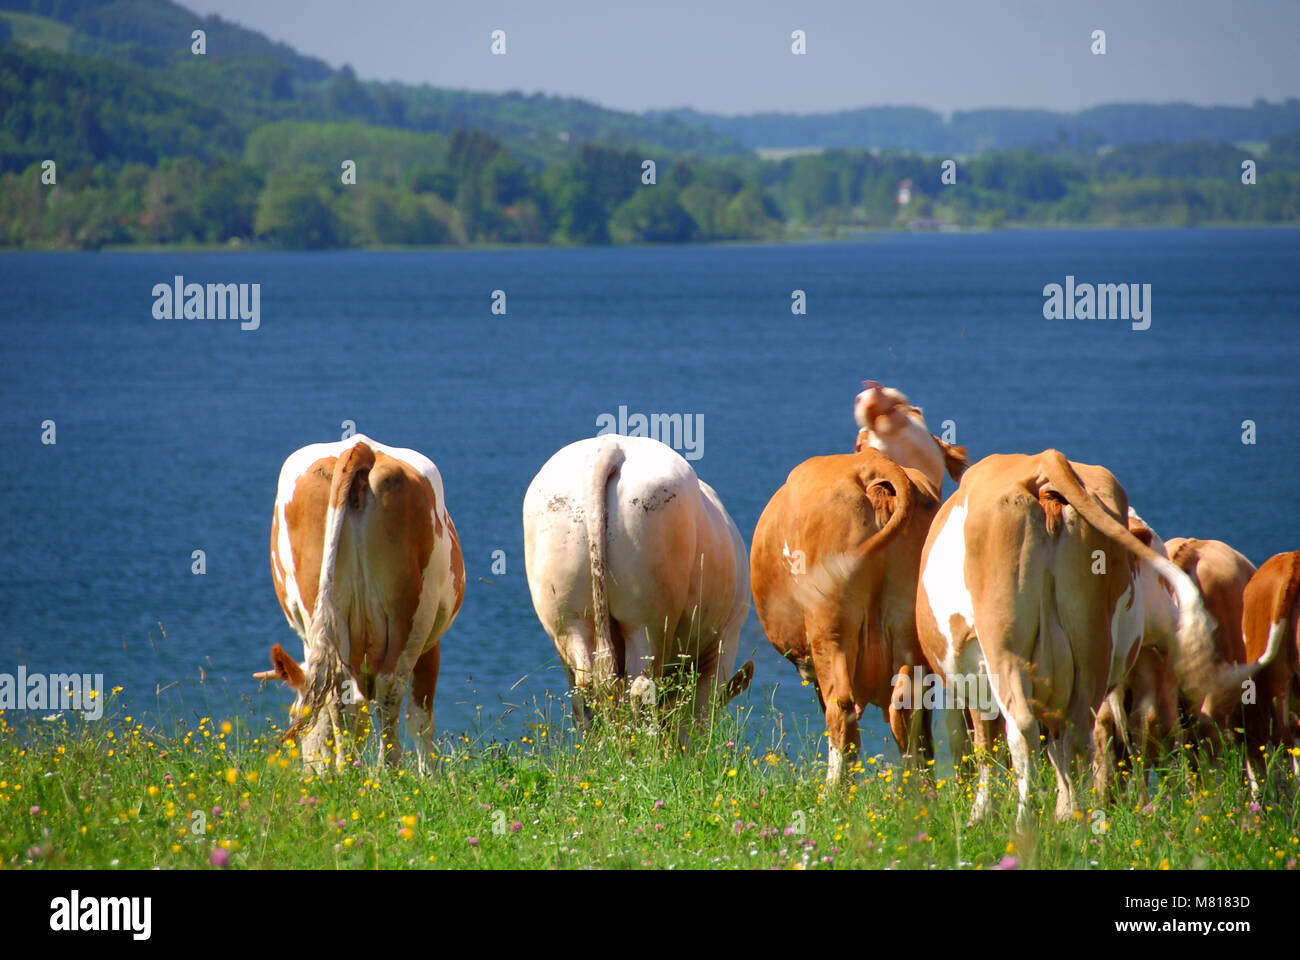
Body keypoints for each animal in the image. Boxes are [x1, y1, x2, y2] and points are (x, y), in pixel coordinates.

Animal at [256, 434, 465, 770]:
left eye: (295, 717)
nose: (309, 772)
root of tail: (360, 447)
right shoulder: (430, 643)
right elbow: (418, 716)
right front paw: (428, 776)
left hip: (323, 609)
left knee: (338, 692)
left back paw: (347, 770)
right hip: (412, 615)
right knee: (390, 690)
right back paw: (390, 770)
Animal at [522, 434, 759, 733]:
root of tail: (610, 445)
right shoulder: (724, 643)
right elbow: (697, 717)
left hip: (567, 619)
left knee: (586, 687)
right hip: (647, 622)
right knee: (638, 688)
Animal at [754, 444, 946, 780]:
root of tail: (873, 463)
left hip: (830, 629)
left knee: (841, 708)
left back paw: (834, 790)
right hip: (910, 628)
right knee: (908, 712)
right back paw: (917, 792)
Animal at [920, 447, 1274, 822]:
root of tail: (1044, 461)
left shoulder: (971, 676)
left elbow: (986, 743)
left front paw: (981, 815)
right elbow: (1056, 751)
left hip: (1005, 647)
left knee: (1023, 729)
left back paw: (1025, 822)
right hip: (1092, 649)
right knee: (1078, 736)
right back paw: (1075, 820)